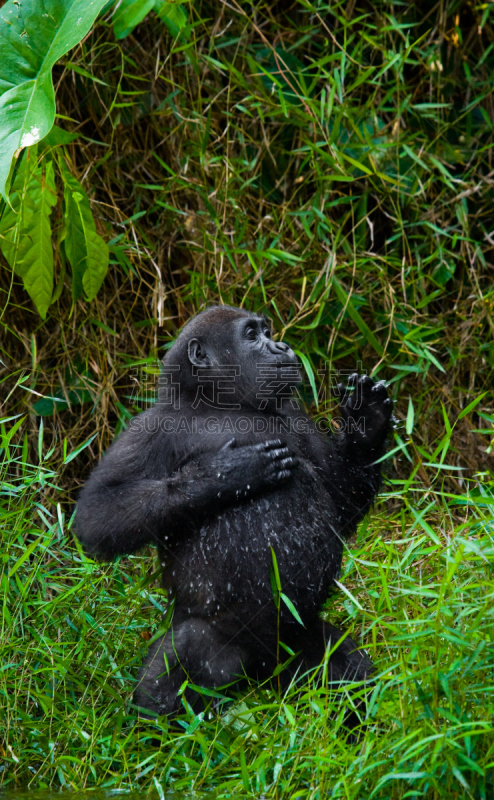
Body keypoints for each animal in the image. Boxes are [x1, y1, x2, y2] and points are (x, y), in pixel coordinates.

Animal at [73, 306, 392, 720]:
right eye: (252, 335)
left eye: (267, 331)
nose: (281, 346)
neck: (220, 403)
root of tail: (261, 669)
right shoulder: (152, 426)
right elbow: (98, 514)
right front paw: (221, 475)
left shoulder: (294, 414)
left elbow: (340, 502)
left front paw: (367, 425)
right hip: (218, 641)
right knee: (173, 677)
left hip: (297, 639)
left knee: (348, 676)